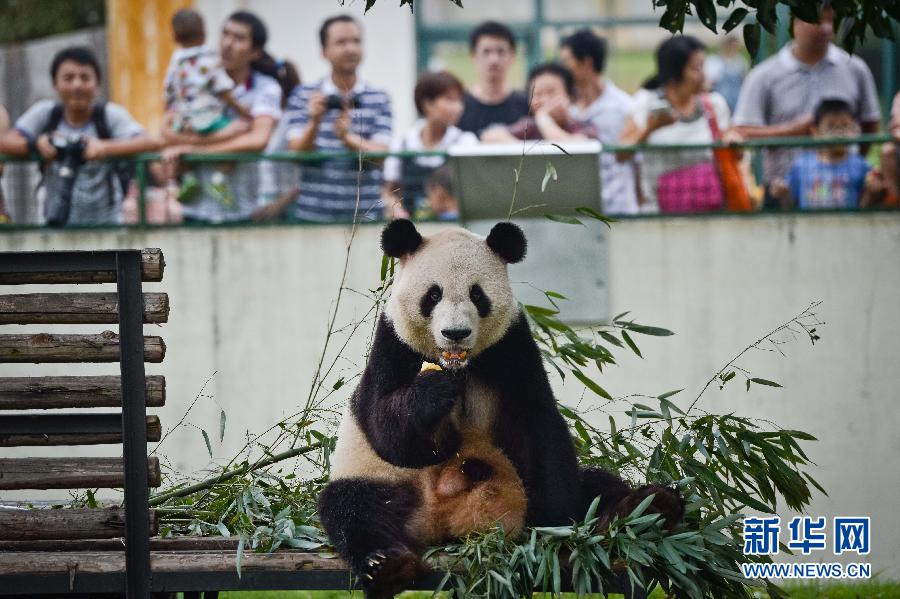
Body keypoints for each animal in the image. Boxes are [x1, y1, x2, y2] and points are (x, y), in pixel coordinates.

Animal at [316, 221, 684, 599]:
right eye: (433, 295)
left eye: (477, 295)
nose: (455, 333)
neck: (459, 364)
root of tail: (439, 524)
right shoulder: (393, 347)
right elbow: (389, 432)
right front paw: (434, 394)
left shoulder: (512, 349)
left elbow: (538, 427)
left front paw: (552, 523)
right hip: (381, 481)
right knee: (352, 510)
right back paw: (387, 566)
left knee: (596, 484)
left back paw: (647, 507)